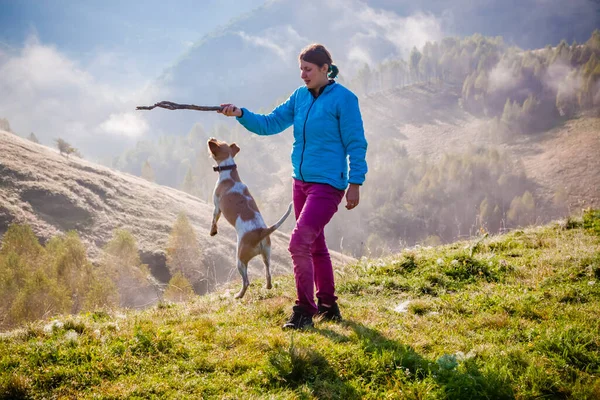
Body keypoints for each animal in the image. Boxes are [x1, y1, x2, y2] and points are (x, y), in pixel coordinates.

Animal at [207, 139, 292, 298]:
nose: (212, 139)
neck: (229, 172)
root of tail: (261, 232)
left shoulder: (216, 207)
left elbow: (214, 219)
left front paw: (212, 231)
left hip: (240, 260)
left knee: (246, 282)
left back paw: (239, 295)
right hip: (266, 255)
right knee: (268, 274)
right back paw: (268, 286)